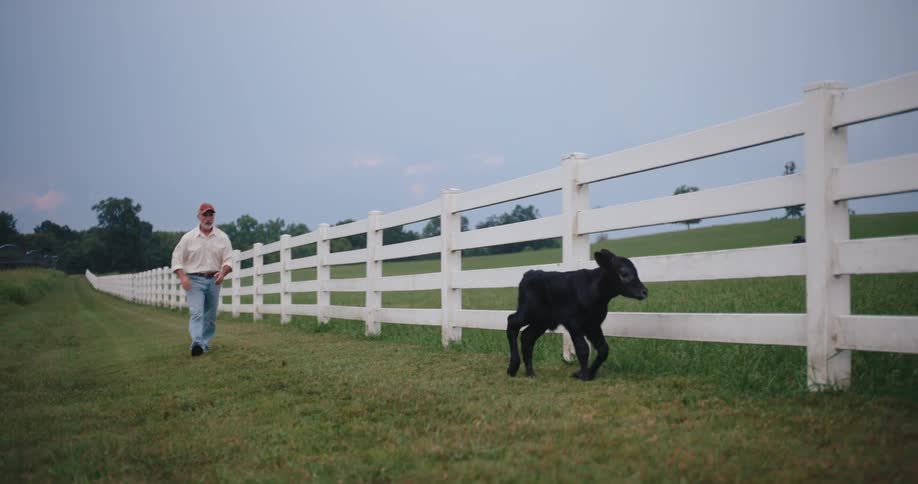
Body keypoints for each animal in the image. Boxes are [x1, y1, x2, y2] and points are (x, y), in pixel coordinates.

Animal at [506, 249, 648, 381]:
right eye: (624, 274)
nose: (645, 292)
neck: (594, 291)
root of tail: (530, 273)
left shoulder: (593, 325)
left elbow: (603, 349)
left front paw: (587, 373)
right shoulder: (574, 323)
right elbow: (583, 349)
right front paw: (584, 375)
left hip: (541, 321)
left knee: (527, 337)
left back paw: (530, 372)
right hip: (527, 312)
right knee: (512, 322)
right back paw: (513, 366)